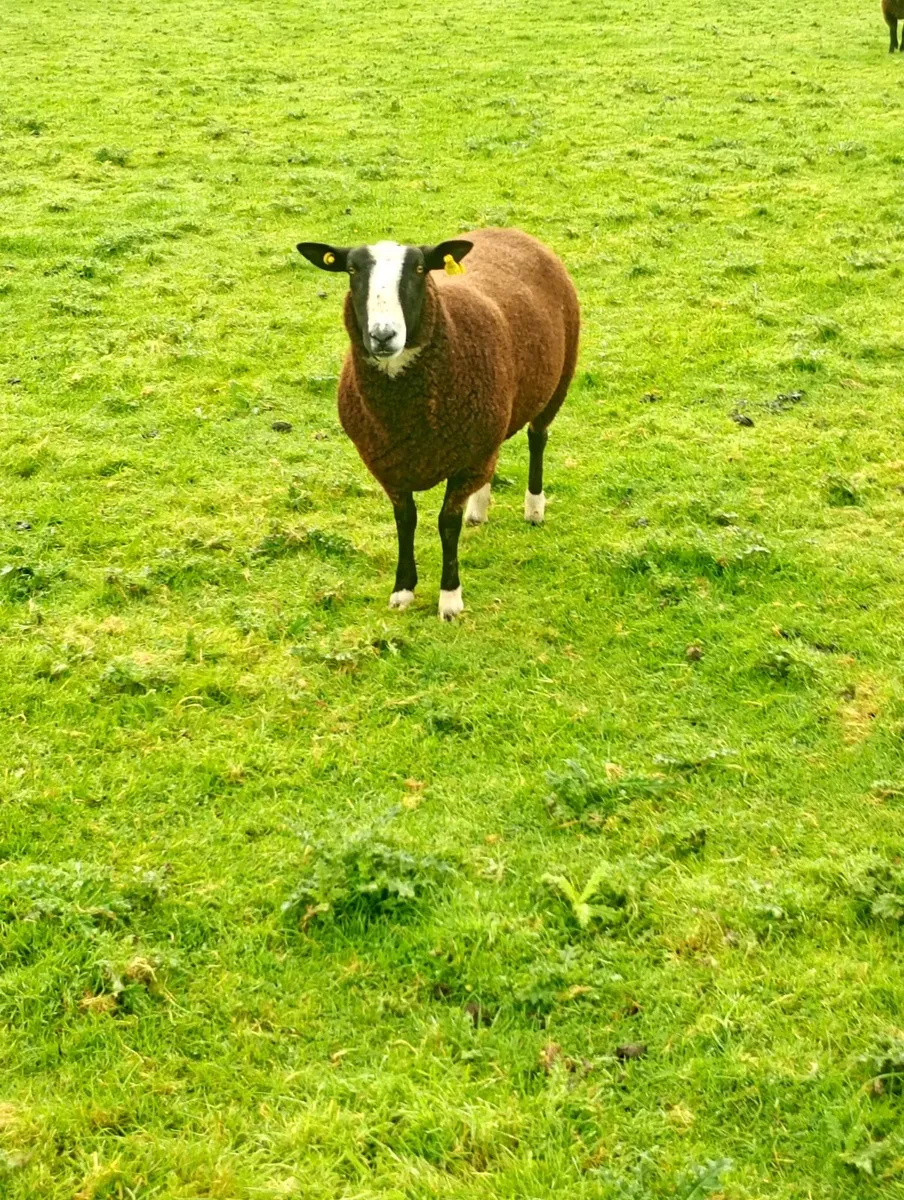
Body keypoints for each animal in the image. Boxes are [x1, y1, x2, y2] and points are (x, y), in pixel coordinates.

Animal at [296, 228, 580, 620]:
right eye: (352, 270)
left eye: (418, 269)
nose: (383, 336)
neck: (406, 415)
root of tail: (508, 231)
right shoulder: (388, 466)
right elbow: (406, 521)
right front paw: (403, 590)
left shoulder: (464, 462)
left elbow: (447, 524)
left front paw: (449, 598)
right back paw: (479, 508)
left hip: (557, 384)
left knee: (537, 439)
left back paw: (534, 508)